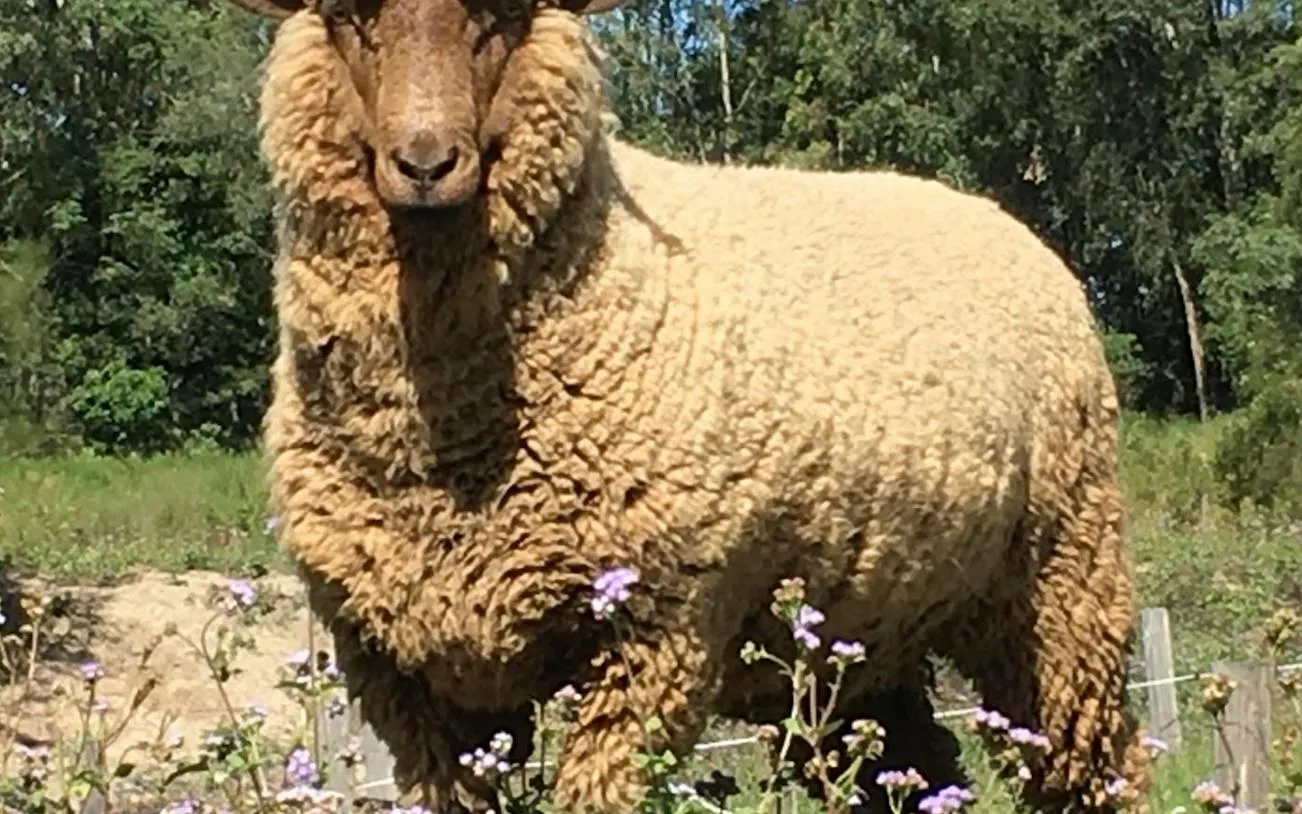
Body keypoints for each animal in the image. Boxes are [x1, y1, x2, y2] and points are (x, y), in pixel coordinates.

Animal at [224, 0, 1152, 812]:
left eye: (505, 16)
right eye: (347, 17)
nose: (424, 164)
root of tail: (993, 212)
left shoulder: (654, 631)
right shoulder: (402, 674)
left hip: (1061, 579)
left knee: (1098, 766)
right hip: (853, 638)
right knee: (912, 769)